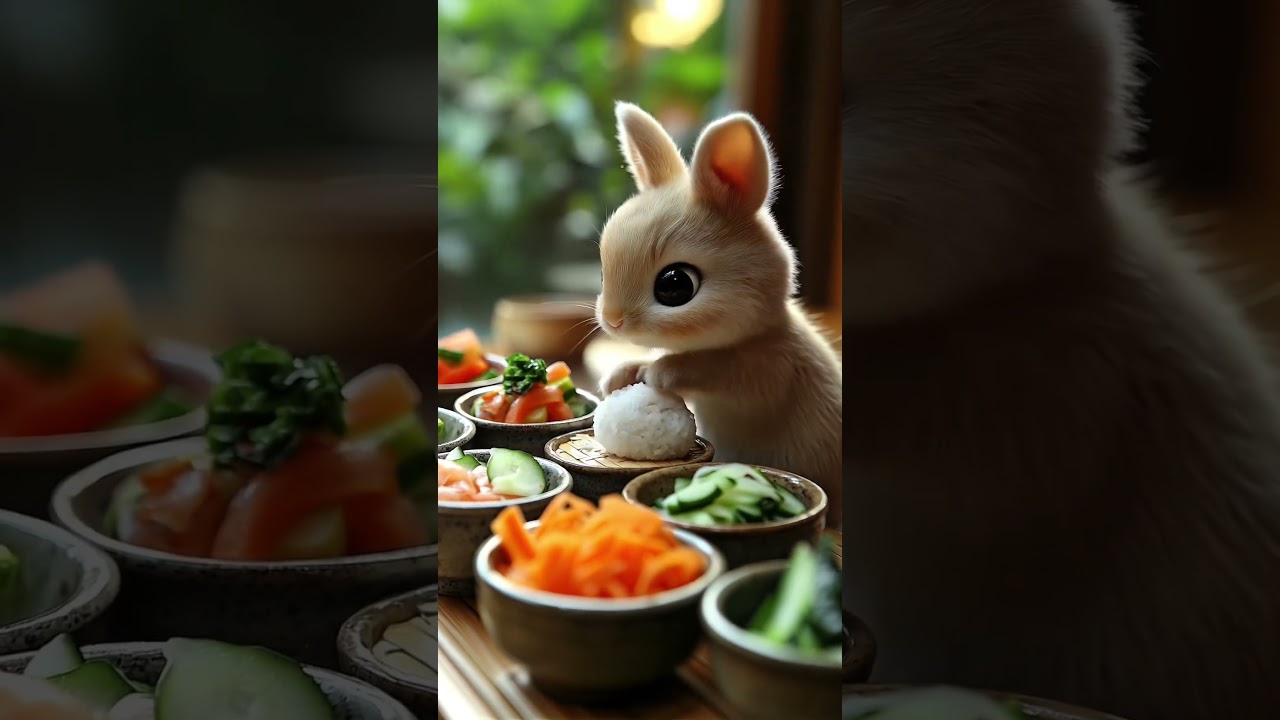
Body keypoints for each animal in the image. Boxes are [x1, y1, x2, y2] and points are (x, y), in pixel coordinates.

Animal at [594, 102, 844, 527]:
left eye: (675, 285)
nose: (612, 320)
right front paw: (620, 375)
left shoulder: (766, 372)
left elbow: (712, 369)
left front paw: (658, 374)